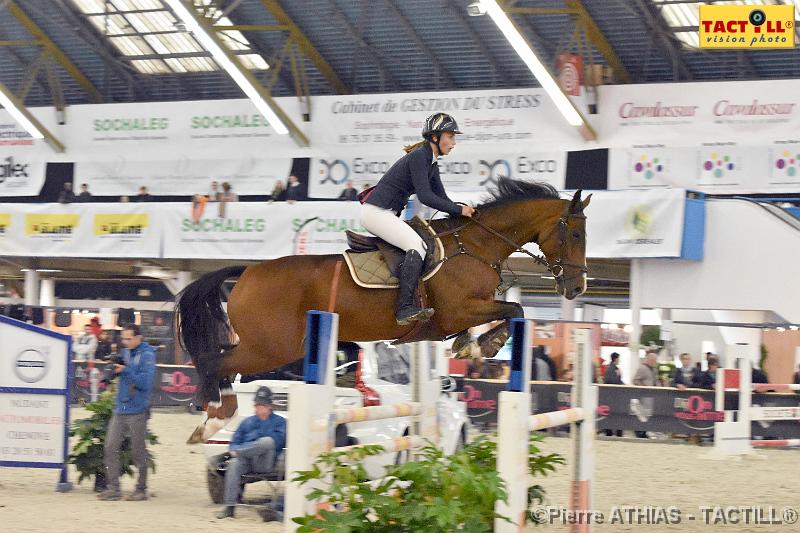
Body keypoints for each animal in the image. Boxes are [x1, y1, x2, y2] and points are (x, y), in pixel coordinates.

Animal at [177, 179, 588, 436]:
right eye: (575, 233)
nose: (577, 287)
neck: (475, 245)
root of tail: (248, 269)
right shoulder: (459, 311)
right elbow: (514, 310)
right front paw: (483, 347)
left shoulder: (460, 316)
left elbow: (510, 311)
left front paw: (468, 347)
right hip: (271, 347)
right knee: (217, 363)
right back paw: (211, 418)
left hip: (273, 346)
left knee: (223, 364)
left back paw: (212, 417)